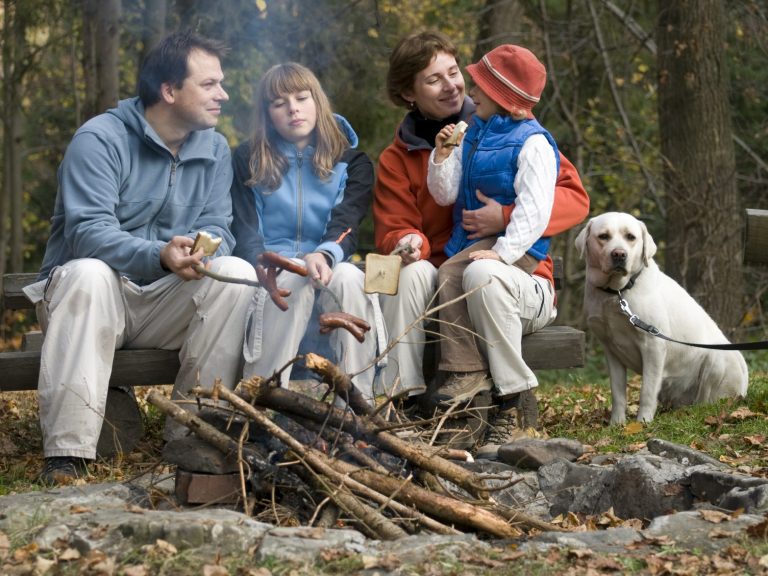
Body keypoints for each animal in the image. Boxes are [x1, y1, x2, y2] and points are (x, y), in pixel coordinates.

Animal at [576, 212, 752, 424]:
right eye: (603, 236)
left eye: (630, 237)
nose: (619, 254)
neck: (617, 292)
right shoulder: (611, 350)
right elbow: (618, 393)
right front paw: (616, 424)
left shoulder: (653, 345)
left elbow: (647, 391)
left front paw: (642, 422)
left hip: (716, 358)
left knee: (706, 400)